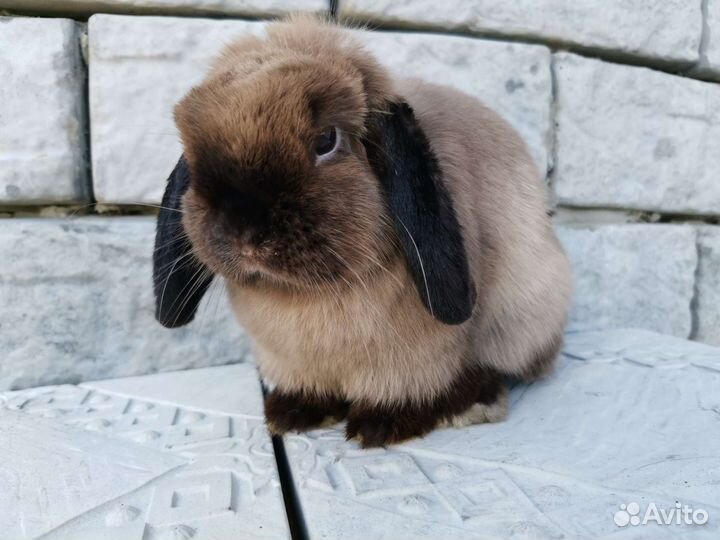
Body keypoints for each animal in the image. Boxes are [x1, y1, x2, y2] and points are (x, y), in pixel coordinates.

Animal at [153, 15, 573, 448]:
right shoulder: (289, 360)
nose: (243, 231)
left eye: (327, 140)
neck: (305, 295)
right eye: (195, 157)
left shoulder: (414, 360)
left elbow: (406, 390)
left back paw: (473, 402)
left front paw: (378, 426)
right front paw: (292, 413)